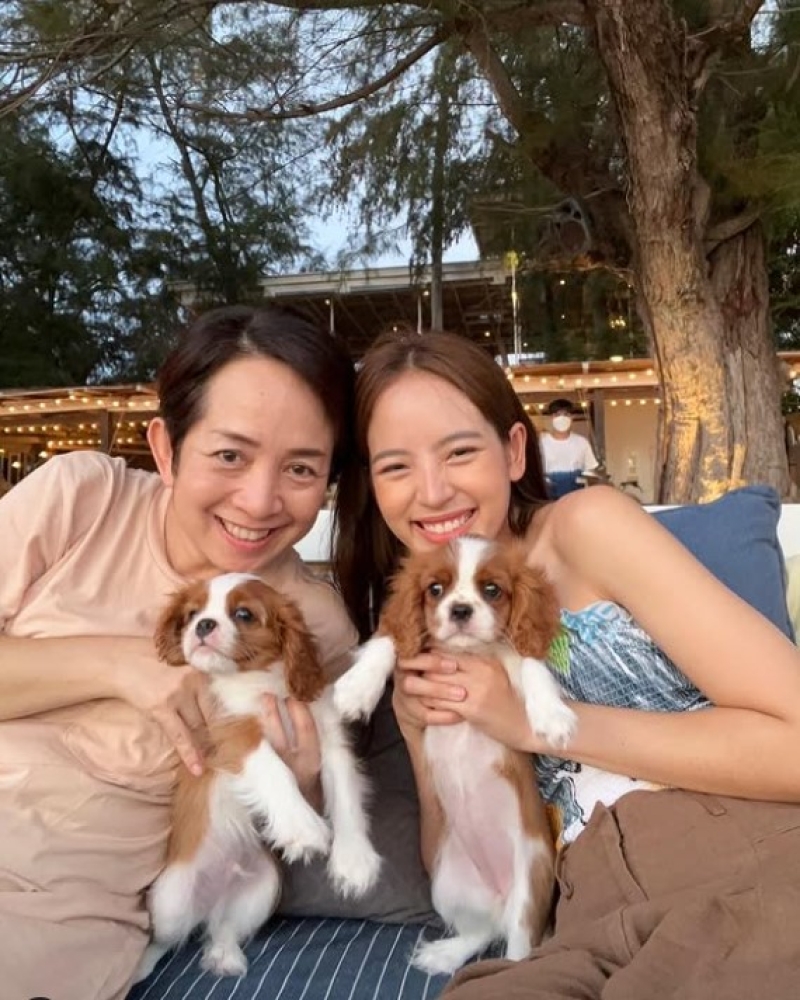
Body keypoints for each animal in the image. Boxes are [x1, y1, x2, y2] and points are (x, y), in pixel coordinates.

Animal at [137, 573, 381, 980]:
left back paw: (224, 956)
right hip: (170, 899)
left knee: (222, 927)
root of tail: (213, 897)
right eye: (192, 614)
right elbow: (274, 771)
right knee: (166, 938)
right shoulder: (234, 737)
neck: (263, 682)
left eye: (243, 614)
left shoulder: (331, 745)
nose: (203, 625)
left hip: (262, 891)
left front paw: (353, 862)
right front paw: (303, 828)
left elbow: (345, 798)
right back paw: (141, 966)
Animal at [334, 535, 576, 974]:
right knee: (480, 932)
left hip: (531, 887)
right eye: (435, 589)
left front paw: (551, 716)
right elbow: (386, 642)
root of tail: (501, 898)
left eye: (492, 590)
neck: (466, 655)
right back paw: (444, 954)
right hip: (448, 884)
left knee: (516, 947)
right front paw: (356, 689)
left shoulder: (512, 657)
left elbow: (532, 665)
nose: (460, 610)